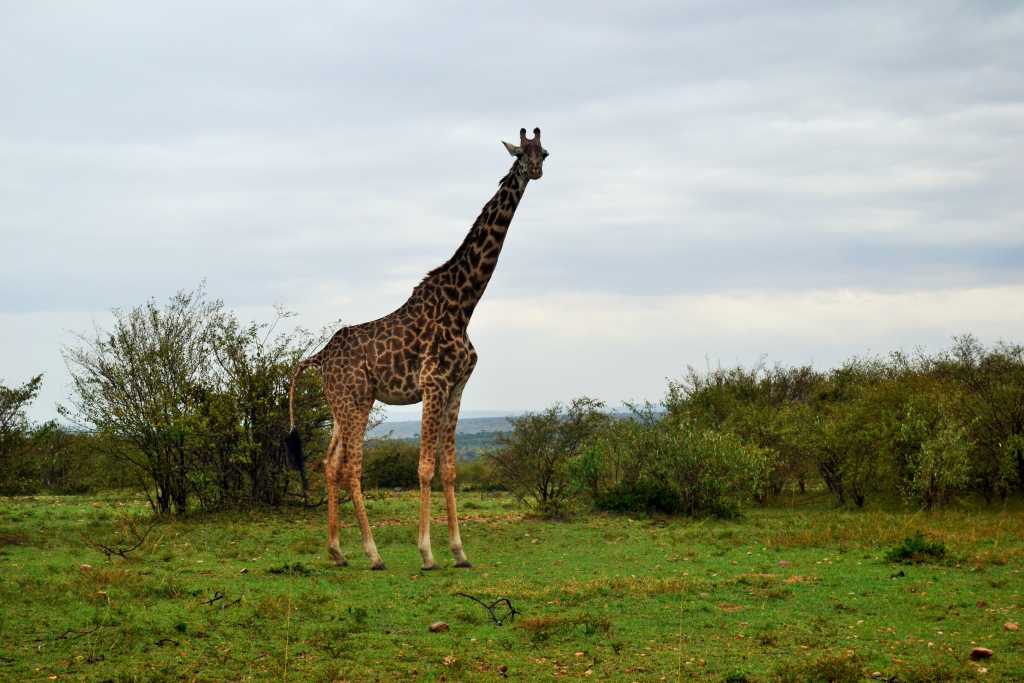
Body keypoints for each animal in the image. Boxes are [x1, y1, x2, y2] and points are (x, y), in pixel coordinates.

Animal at [284, 125, 548, 569]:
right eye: (520, 152)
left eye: (543, 152)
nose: (535, 170)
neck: (464, 305)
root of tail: (318, 358)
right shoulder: (433, 383)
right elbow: (424, 467)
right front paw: (426, 552)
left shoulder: (457, 387)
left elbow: (450, 469)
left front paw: (459, 551)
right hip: (356, 400)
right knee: (351, 468)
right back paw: (373, 554)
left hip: (343, 403)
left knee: (330, 463)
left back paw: (337, 550)